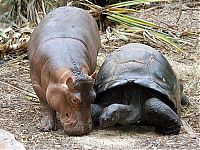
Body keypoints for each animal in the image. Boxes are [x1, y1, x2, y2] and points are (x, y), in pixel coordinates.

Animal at [27, 6, 100, 136]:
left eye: (93, 97)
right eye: (74, 99)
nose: (84, 129)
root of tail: (72, 6)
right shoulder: (36, 84)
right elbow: (45, 104)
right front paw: (45, 127)